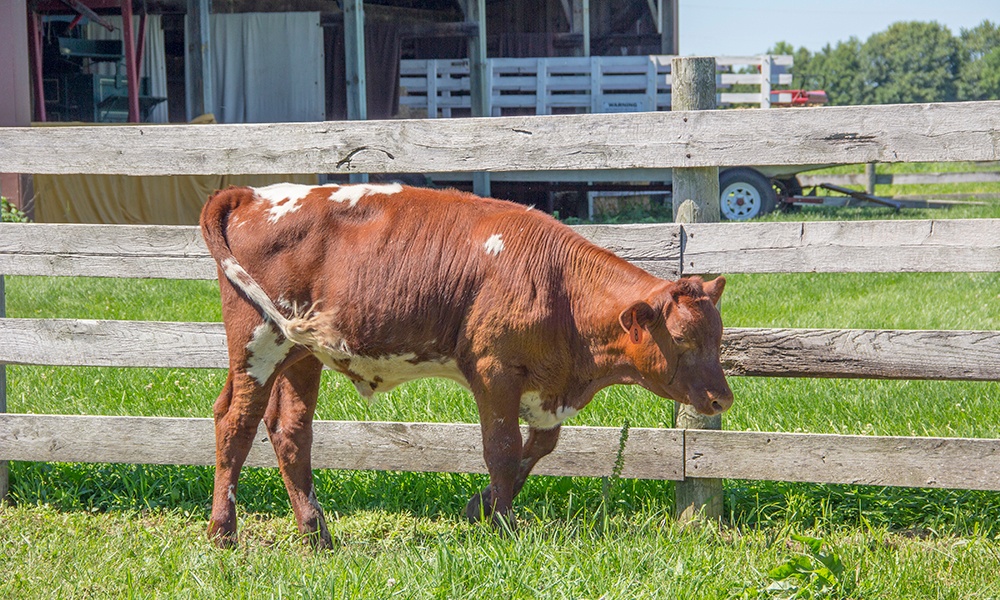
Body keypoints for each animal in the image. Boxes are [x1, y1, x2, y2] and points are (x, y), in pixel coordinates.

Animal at [201, 184, 736, 548]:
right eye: (682, 338)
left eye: (718, 335)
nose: (721, 399)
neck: (558, 285)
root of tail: (251, 194)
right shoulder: (494, 372)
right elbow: (502, 450)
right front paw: (503, 525)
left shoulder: (545, 390)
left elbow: (536, 449)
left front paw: (481, 508)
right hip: (256, 342)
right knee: (236, 422)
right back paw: (223, 532)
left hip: (300, 354)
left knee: (290, 431)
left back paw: (317, 535)